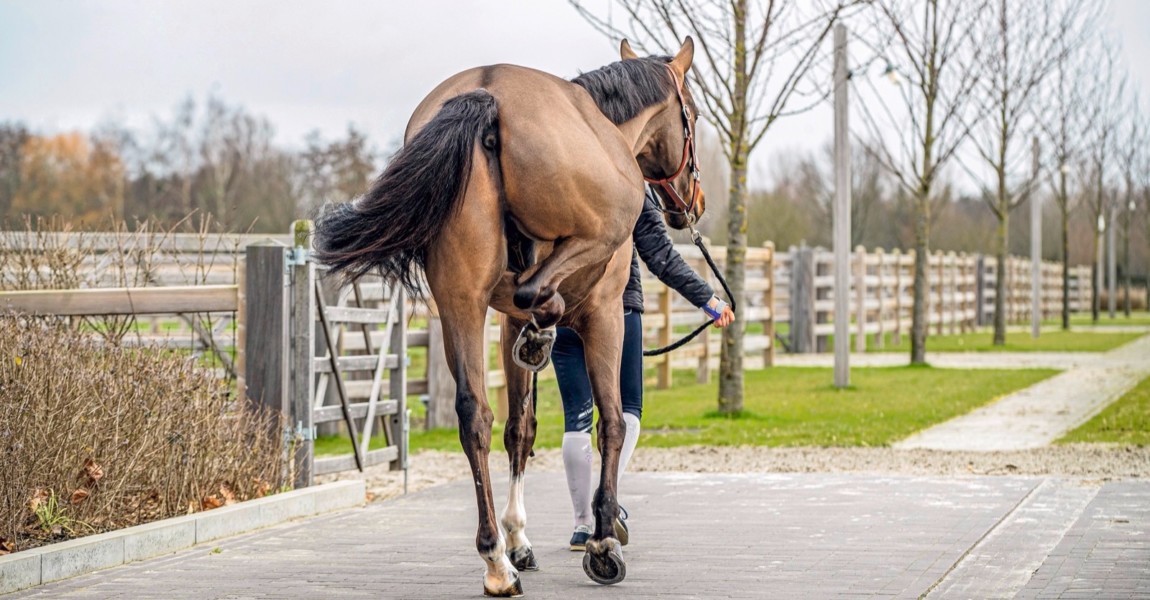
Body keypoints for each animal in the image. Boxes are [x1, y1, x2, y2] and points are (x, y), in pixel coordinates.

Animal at [312, 39, 699, 593]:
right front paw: (603, 540)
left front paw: (518, 539)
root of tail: (487, 92)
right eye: (694, 115)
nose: (692, 201)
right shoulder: (606, 314)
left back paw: (497, 562)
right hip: (586, 248)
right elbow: (610, 424)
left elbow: (520, 428)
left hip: (460, 301)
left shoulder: (503, 322)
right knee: (538, 295)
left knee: (475, 415)